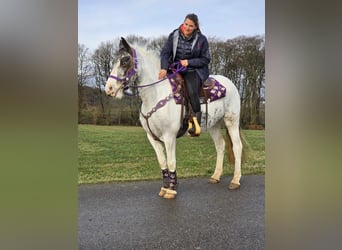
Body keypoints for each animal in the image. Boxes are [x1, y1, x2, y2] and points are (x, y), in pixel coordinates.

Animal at [105, 37, 242, 199]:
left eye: (126, 60)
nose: (109, 88)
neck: (156, 94)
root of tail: (230, 83)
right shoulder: (152, 137)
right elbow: (162, 161)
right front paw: (166, 187)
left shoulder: (169, 136)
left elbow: (171, 162)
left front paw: (171, 189)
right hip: (214, 125)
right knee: (220, 146)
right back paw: (216, 176)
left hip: (232, 121)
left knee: (237, 147)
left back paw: (235, 180)